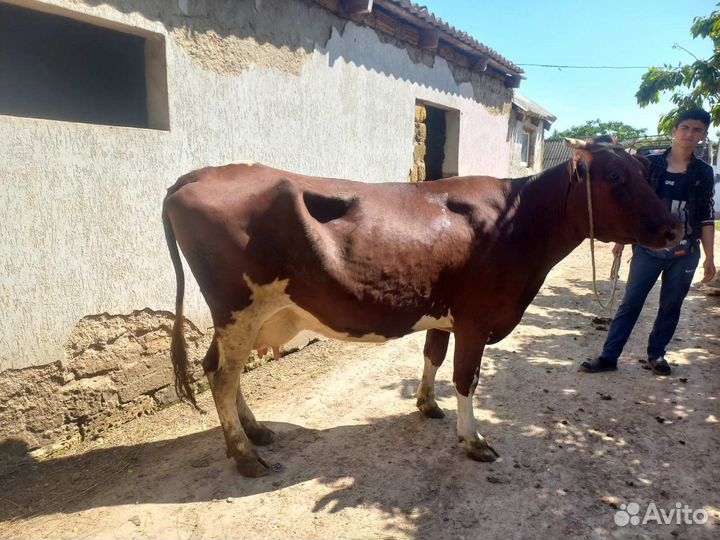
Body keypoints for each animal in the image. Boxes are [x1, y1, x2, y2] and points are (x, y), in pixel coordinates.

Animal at [162, 139, 680, 477]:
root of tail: (198, 174)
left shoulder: (445, 313)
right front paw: (473, 441)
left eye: (644, 171)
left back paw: (256, 432)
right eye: (613, 176)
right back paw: (246, 455)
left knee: (219, 370)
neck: (519, 222)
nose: (675, 228)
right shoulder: (476, 317)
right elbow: (466, 378)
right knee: (222, 376)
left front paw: (427, 404)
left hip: (242, 315)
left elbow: (432, 355)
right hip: (238, 307)